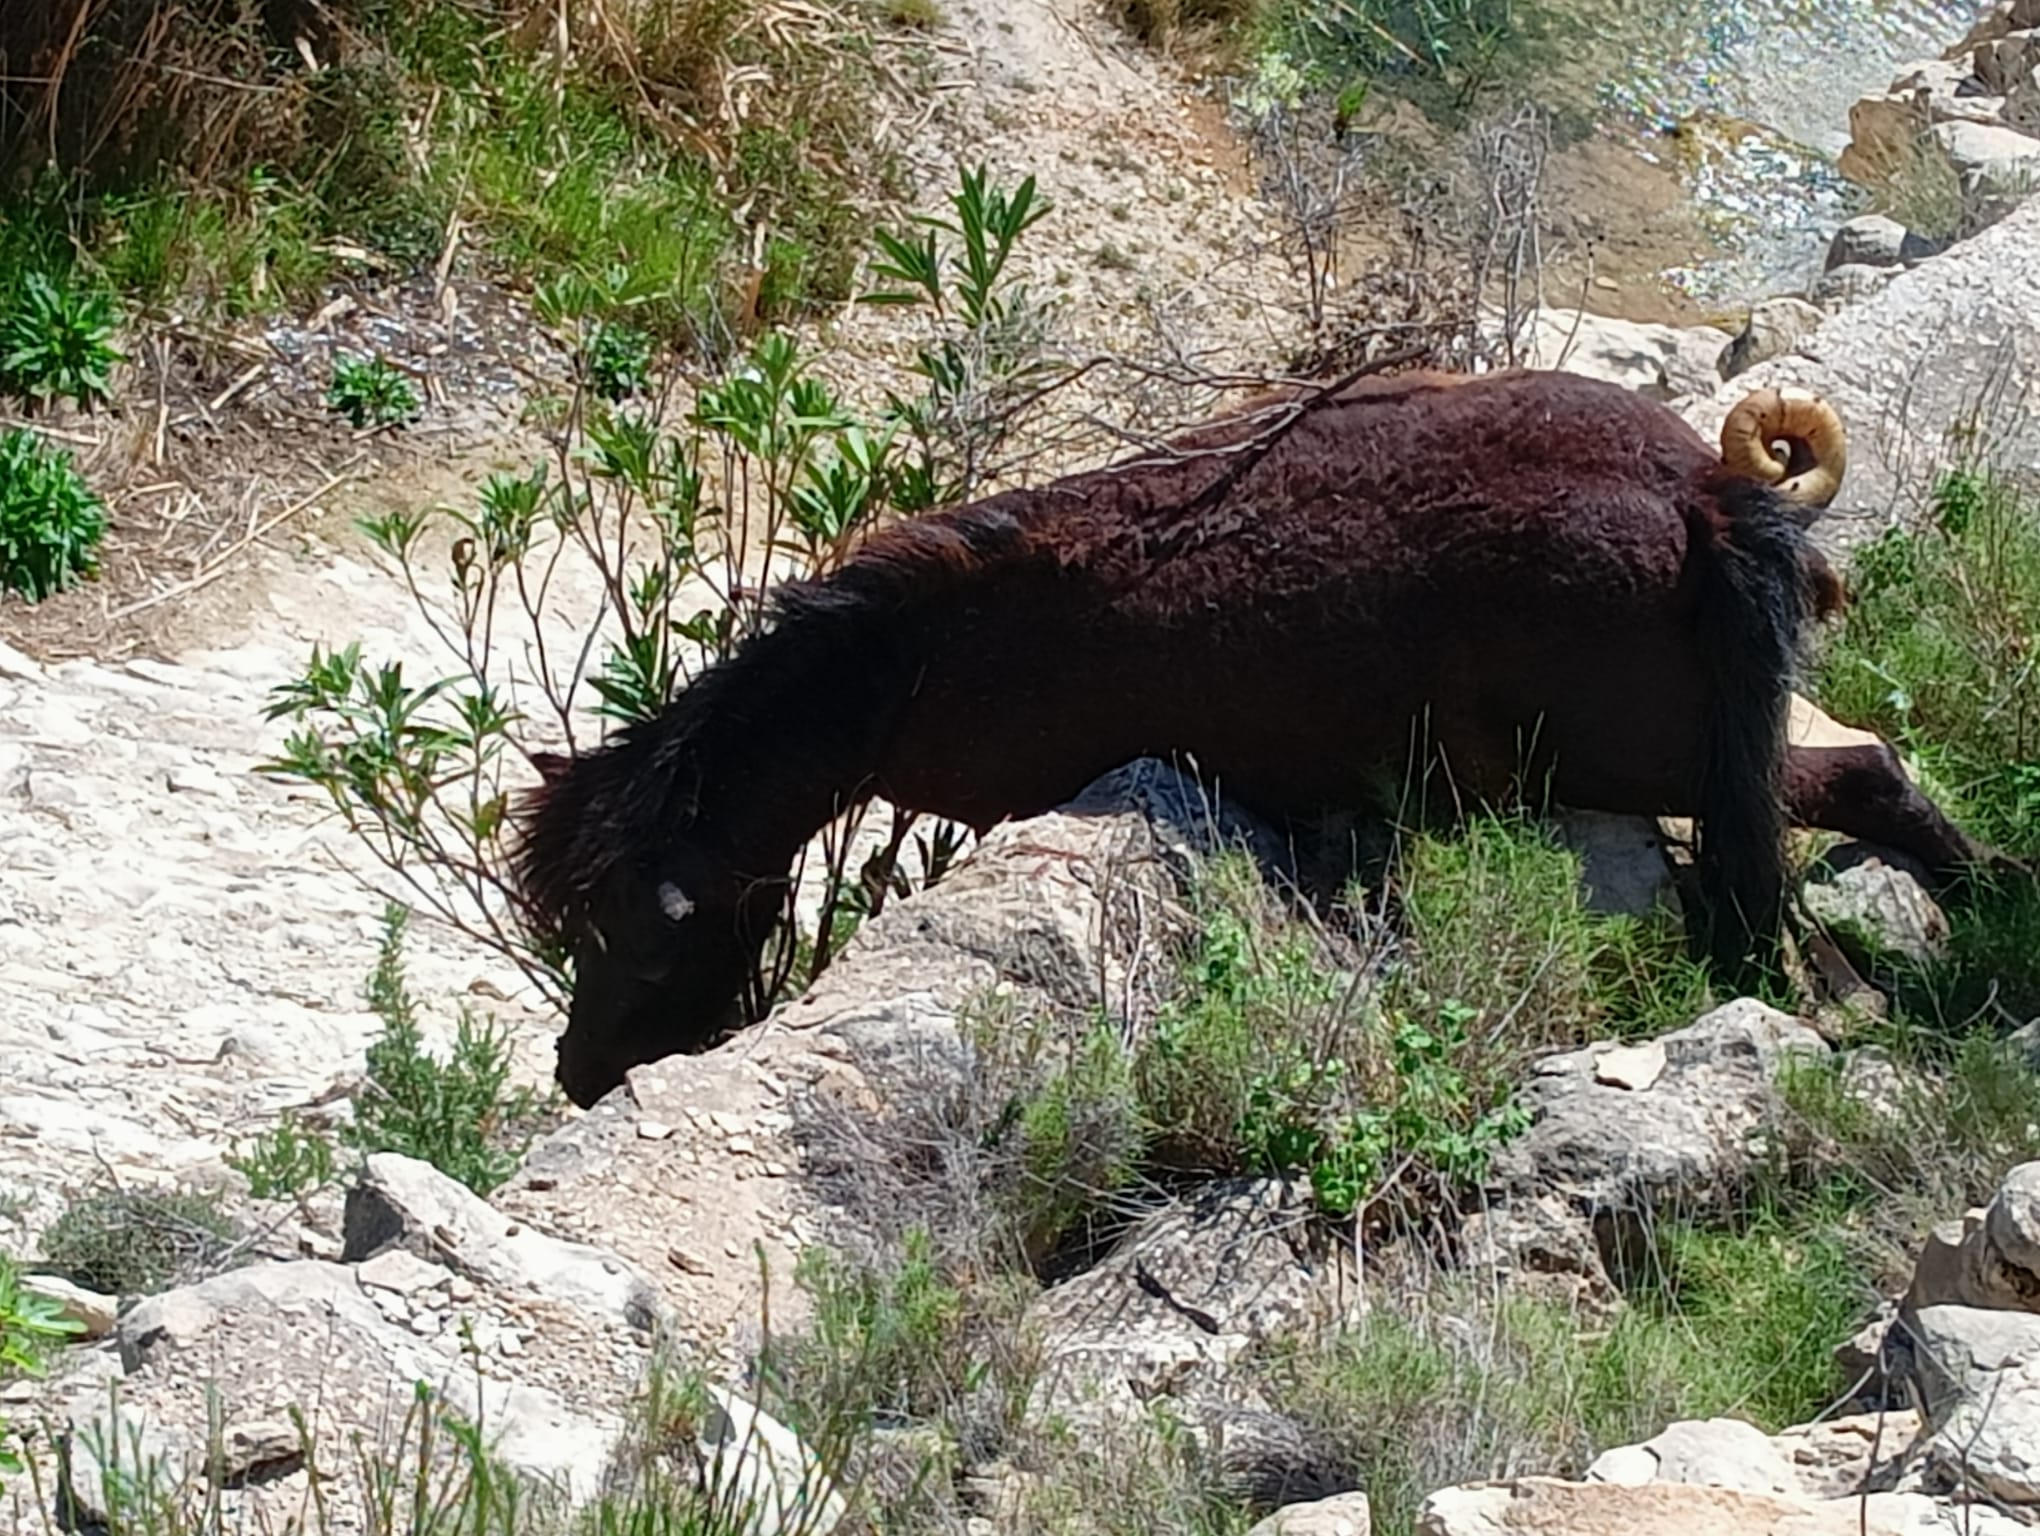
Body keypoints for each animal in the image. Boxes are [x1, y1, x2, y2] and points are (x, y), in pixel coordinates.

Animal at [510, 365, 1996, 1108]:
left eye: (647, 938)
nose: (582, 1071)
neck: (925, 650)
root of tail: (1699, 491)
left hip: (1653, 758)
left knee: (1846, 787)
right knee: (1865, 776)